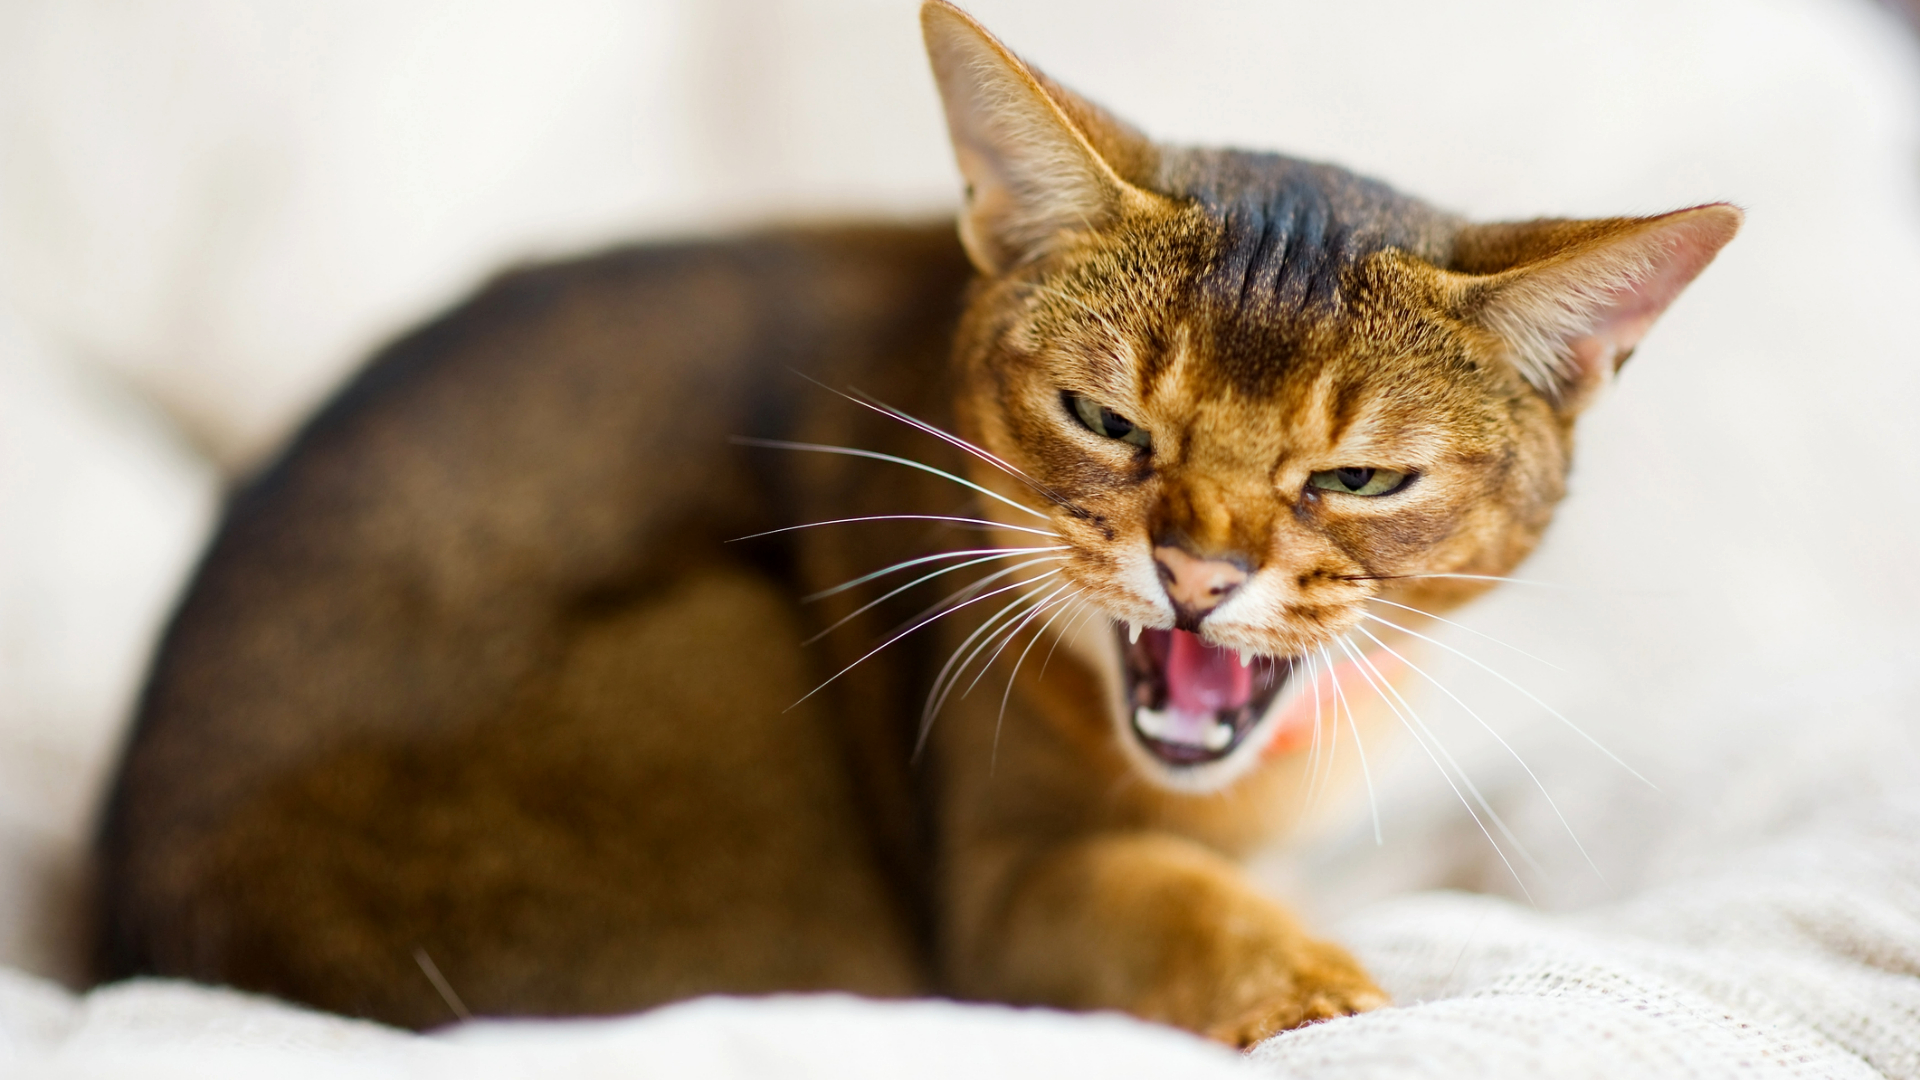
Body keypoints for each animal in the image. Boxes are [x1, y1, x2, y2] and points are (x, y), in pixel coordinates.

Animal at [90, 0, 1743, 1045]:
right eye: (1106, 421)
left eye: (1359, 482)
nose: (1197, 571)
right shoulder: (998, 887)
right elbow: (1163, 901)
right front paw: (1317, 990)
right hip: (728, 654)